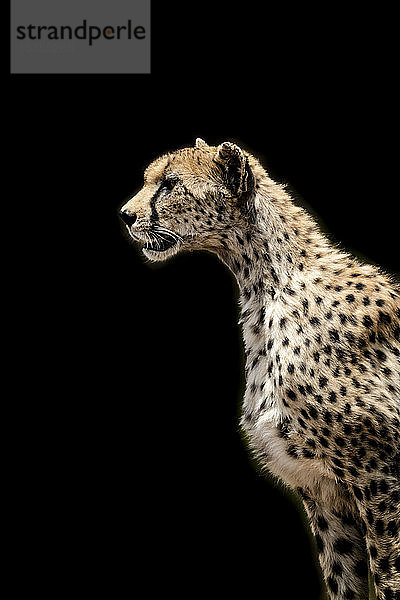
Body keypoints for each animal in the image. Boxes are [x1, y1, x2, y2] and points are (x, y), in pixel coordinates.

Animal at [120, 138, 400, 596]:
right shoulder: (322, 492)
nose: (126, 214)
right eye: (151, 180)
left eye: (170, 183)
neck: (266, 288)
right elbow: (345, 580)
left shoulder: (379, 477)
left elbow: (391, 575)